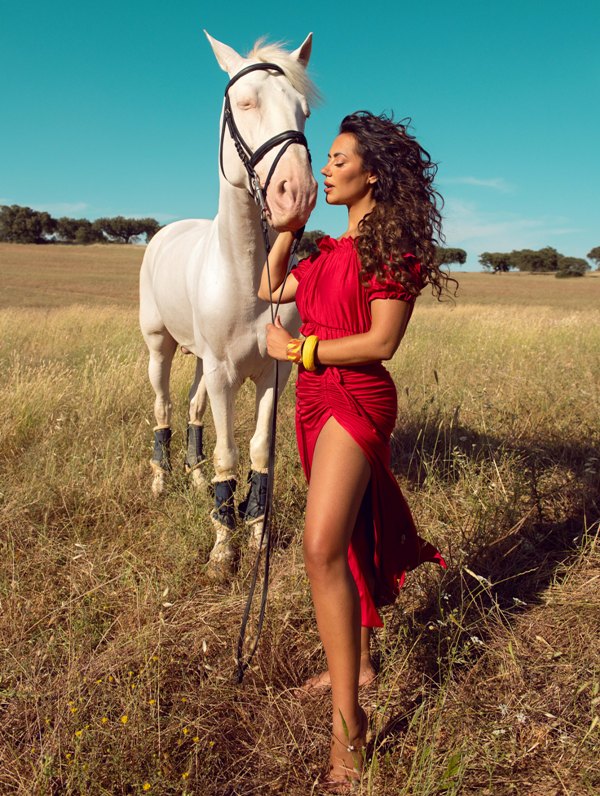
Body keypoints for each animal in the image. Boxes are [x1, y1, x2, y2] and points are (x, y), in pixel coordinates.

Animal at [139, 29, 318, 564]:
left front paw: (256, 529)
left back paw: (196, 480)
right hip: (161, 347)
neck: (248, 281)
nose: (297, 194)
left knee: (194, 410)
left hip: (201, 359)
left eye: (304, 110)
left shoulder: (273, 373)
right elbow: (228, 452)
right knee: (164, 407)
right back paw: (162, 480)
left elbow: (259, 451)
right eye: (245, 102)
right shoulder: (223, 375)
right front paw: (223, 545)